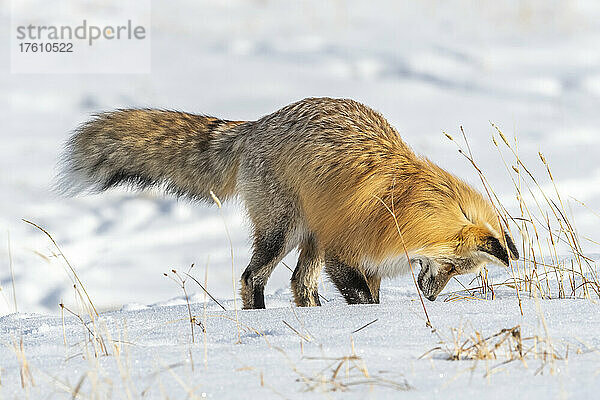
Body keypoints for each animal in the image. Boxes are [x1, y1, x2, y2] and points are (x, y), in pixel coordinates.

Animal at [62, 97, 520, 310]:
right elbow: (362, 299)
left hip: (311, 235)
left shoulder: (365, 262)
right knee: (252, 278)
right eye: (454, 267)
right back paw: (260, 316)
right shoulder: (344, 252)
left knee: (301, 284)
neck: (404, 205)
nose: (430, 298)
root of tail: (256, 124)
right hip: (285, 231)